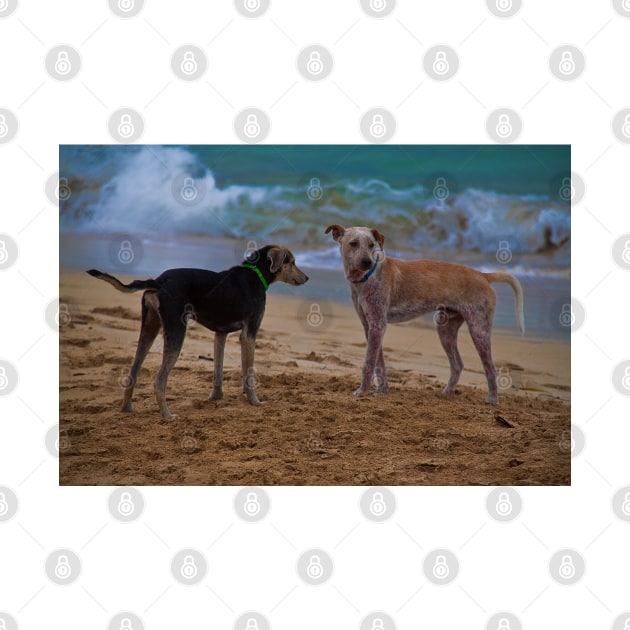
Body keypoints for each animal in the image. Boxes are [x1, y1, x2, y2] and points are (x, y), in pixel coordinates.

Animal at [86, 246, 308, 420]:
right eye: (292, 262)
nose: (307, 278)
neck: (256, 273)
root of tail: (159, 281)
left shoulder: (220, 334)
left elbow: (218, 370)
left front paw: (216, 398)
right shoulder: (249, 335)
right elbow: (249, 374)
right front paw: (255, 402)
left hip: (149, 327)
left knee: (133, 372)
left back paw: (126, 409)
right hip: (176, 330)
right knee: (159, 381)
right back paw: (167, 415)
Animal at [328, 226, 524, 404]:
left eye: (371, 245)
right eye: (353, 243)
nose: (367, 262)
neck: (368, 276)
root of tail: (483, 276)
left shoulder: (377, 325)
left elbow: (369, 363)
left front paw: (362, 391)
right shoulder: (370, 326)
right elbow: (379, 363)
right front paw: (382, 390)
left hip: (479, 329)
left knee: (490, 368)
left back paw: (492, 401)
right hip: (446, 329)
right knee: (458, 365)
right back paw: (447, 393)